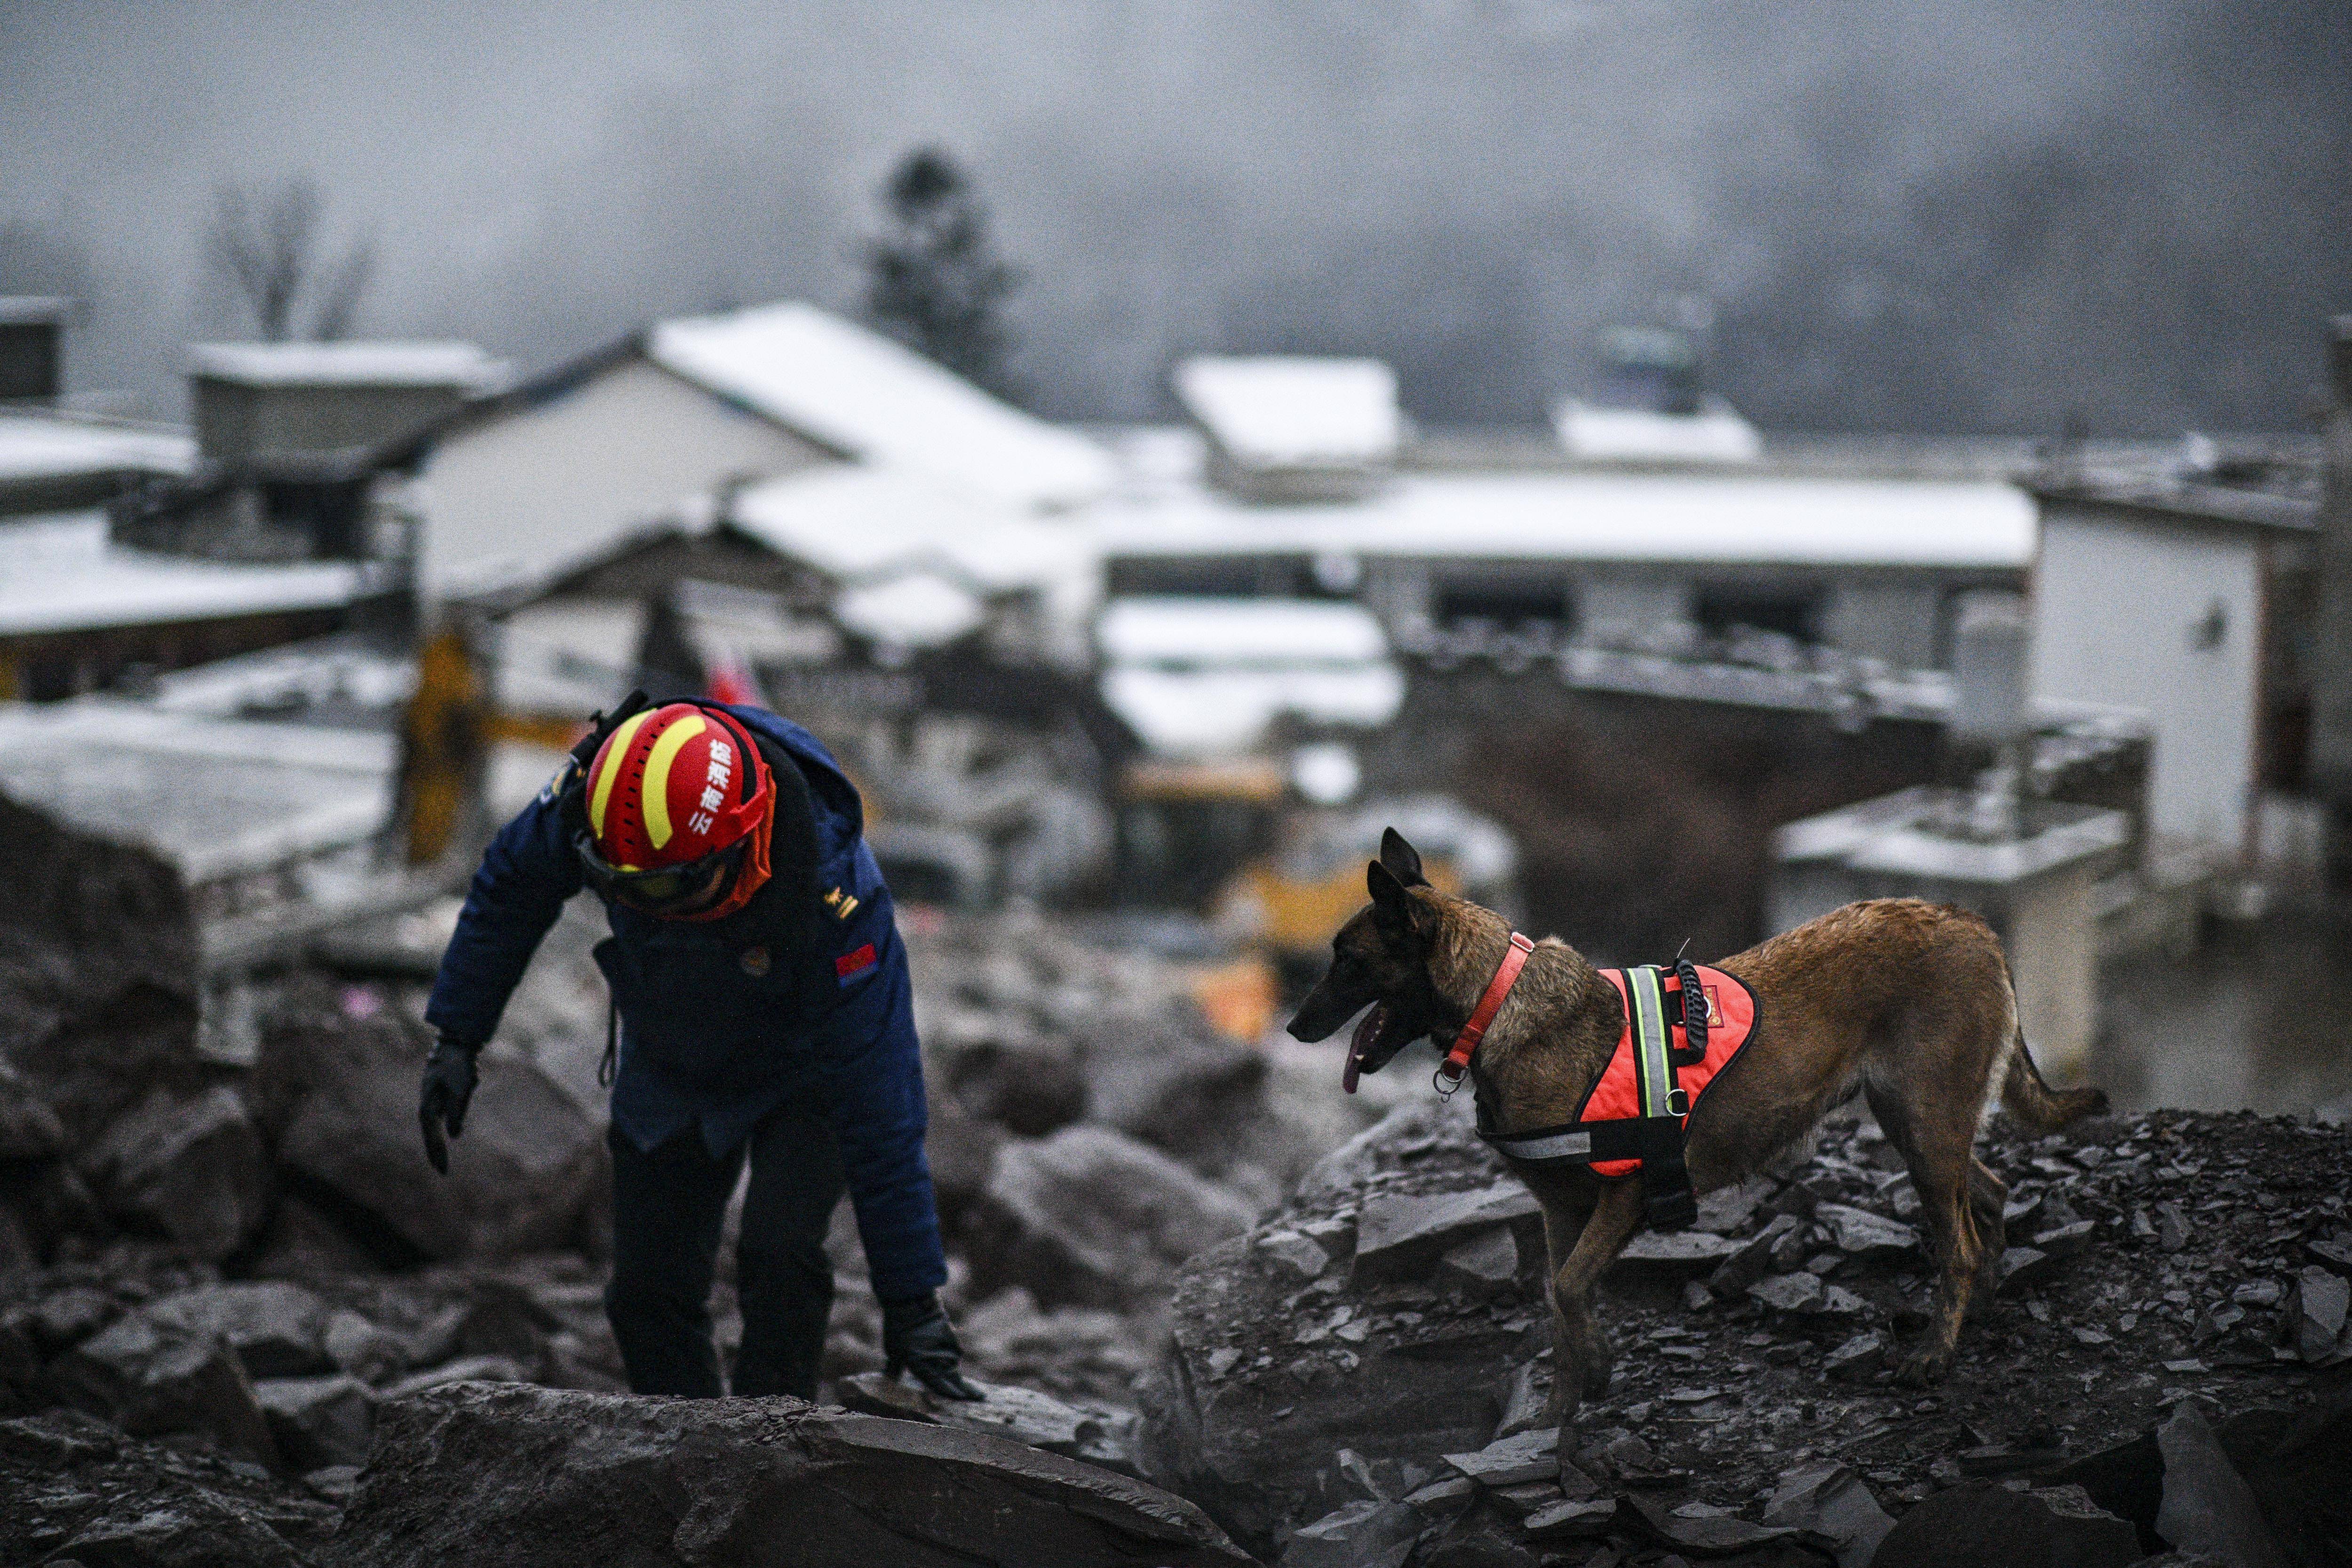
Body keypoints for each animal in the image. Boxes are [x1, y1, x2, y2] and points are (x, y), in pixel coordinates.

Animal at [1289, 832, 2117, 1420]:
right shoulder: (1561, 1212)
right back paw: (1986, 1301)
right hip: (1917, 1126)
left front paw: (1595, 1371)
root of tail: (1970, 920)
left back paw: (1937, 1352)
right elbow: (1560, 1301)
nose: (1295, 1028)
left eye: (1348, 962)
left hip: (1926, 1126)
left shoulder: (1623, 1197)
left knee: (1959, 1243)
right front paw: (1561, 1406)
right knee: (1990, 1195)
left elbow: (1570, 1289)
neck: (1498, 1003)